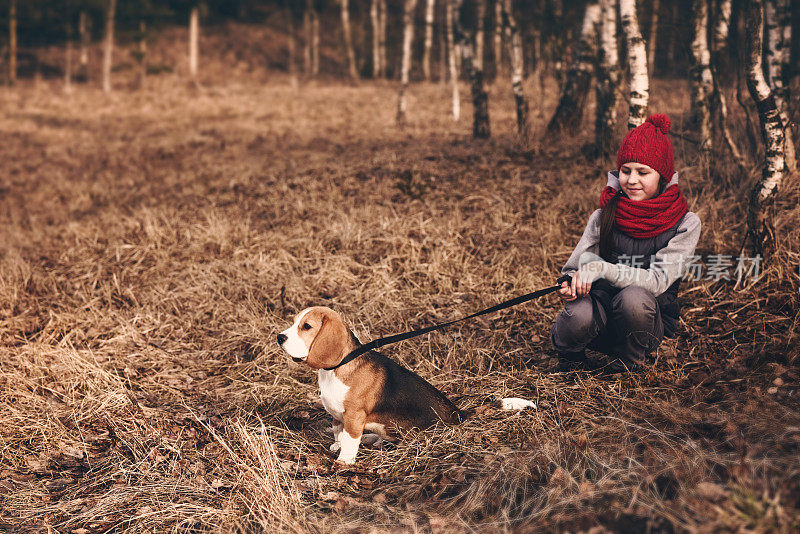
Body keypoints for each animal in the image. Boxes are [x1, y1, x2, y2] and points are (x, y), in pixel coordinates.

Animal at [278, 308, 462, 466]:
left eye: (307, 326)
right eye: (294, 322)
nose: (279, 337)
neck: (337, 368)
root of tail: (460, 414)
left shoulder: (354, 415)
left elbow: (350, 438)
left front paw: (344, 460)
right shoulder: (337, 414)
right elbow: (338, 431)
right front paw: (338, 445)